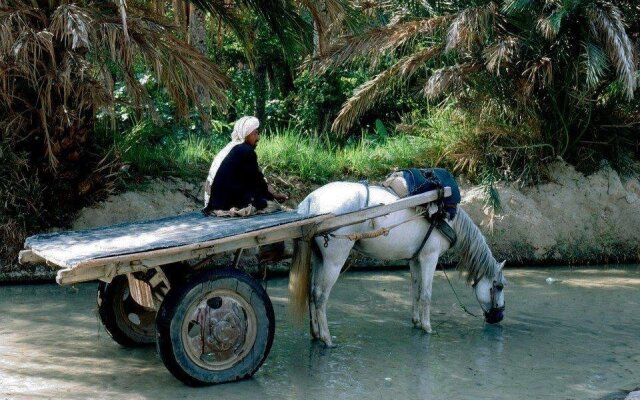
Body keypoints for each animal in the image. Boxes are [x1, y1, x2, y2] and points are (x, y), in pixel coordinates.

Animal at [288, 182, 504, 346]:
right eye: (499, 286)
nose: (499, 317)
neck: (447, 218)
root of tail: (311, 201)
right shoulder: (430, 257)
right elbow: (426, 294)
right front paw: (427, 327)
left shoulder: (416, 259)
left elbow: (416, 291)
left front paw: (417, 322)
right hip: (334, 261)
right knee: (320, 296)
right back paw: (326, 338)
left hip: (319, 258)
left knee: (312, 292)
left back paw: (316, 334)